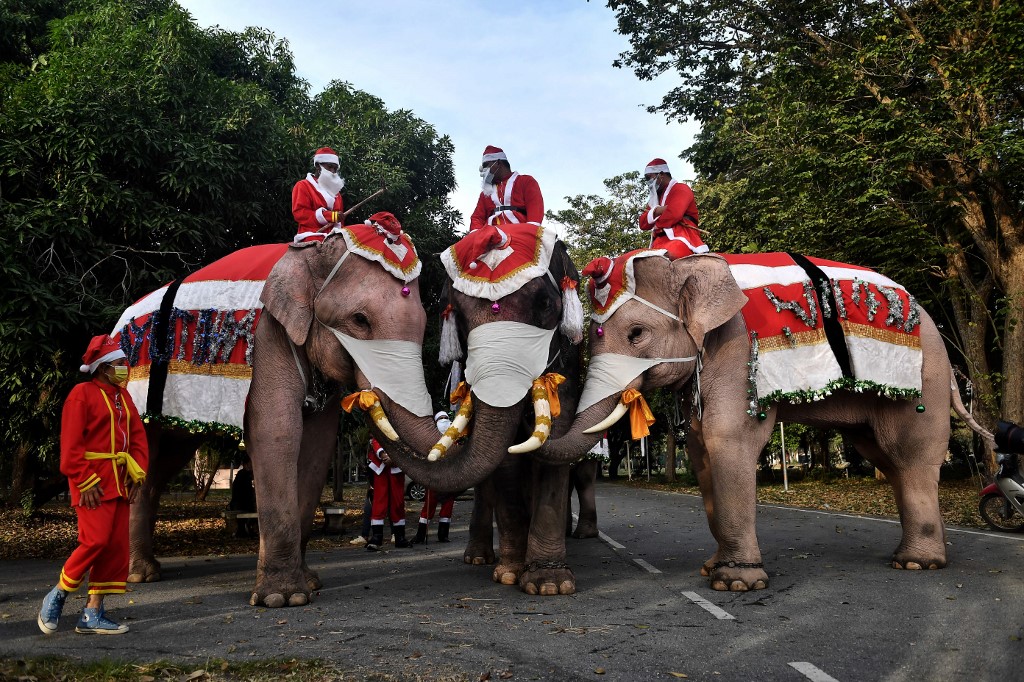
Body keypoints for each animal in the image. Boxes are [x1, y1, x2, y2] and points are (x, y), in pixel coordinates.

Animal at [372, 224, 589, 593]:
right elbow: (504, 462)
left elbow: (555, 443)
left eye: (545, 304)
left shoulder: (569, 361)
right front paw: (510, 574)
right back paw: (478, 557)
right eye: (455, 315)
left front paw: (549, 584)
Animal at [528, 249, 991, 589]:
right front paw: (712, 569)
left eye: (636, 334)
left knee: (909, 454)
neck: (687, 265)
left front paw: (735, 583)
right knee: (884, 456)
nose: (541, 382)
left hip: (924, 376)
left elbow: (727, 441)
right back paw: (915, 556)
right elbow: (700, 451)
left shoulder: (733, 350)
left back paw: (916, 565)